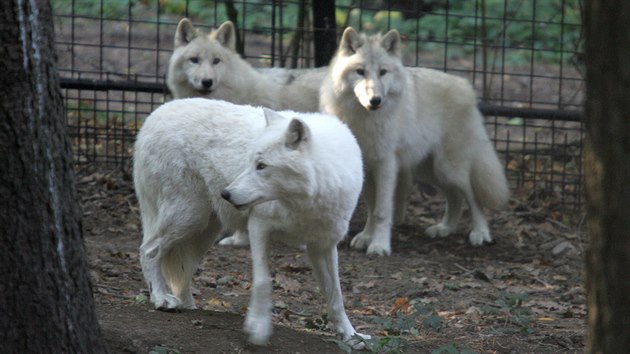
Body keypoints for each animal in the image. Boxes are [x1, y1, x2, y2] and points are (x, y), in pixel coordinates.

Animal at [135, 98, 370, 348]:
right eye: (251, 162)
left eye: (262, 166)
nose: (225, 194)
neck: (305, 203)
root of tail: (152, 117)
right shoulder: (258, 226)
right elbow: (263, 281)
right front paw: (258, 327)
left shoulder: (323, 246)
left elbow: (336, 296)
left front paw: (352, 336)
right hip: (187, 217)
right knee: (148, 250)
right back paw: (161, 298)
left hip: (203, 231)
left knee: (182, 269)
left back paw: (188, 305)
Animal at [320, 27, 512, 254]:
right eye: (360, 72)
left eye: (383, 72)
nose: (375, 100)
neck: (363, 119)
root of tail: (466, 86)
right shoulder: (366, 166)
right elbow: (371, 207)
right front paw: (367, 236)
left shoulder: (386, 165)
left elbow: (381, 210)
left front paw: (379, 245)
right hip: (431, 171)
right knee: (455, 197)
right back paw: (444, 228)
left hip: (450, 169)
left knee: (472, 197)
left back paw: (480, 233)